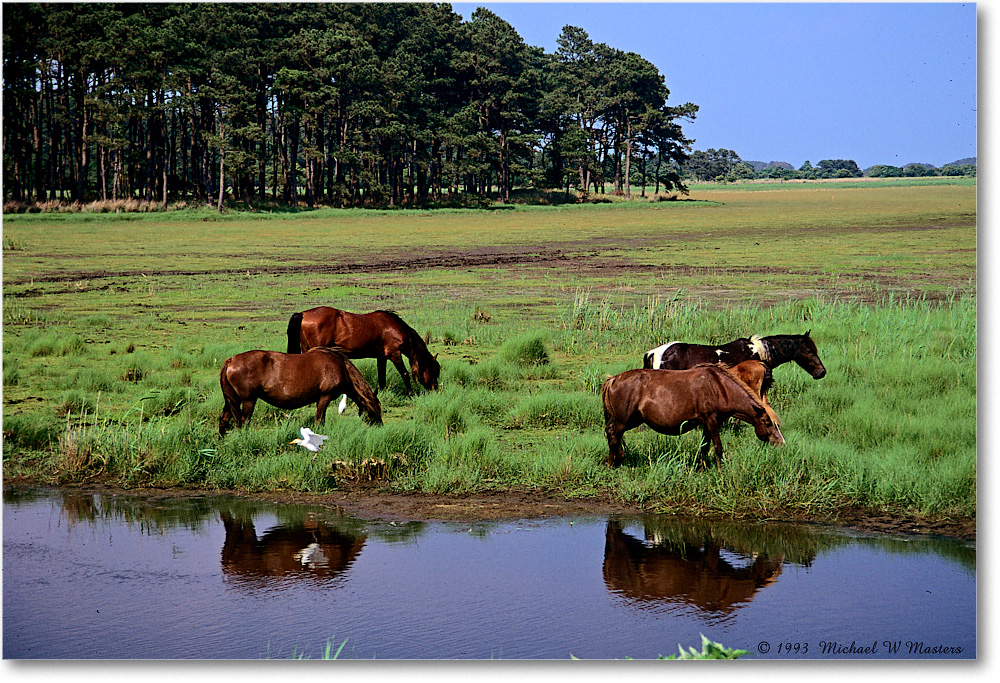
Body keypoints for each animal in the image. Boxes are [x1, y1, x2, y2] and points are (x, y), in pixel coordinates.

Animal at [219, 348, 382, 438]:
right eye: (377, 409)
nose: (380, 426)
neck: (340, 367)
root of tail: (230, 361)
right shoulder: (325, 397)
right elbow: (318, 420)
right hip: (248, 401)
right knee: (243, 422)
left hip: (232, 400)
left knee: (224, 419)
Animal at [292, 308, 444, 398]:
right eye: (435, 370)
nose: (435, 390)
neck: (394, 328)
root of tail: (304, 314)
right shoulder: (395, 354)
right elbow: (405, 373)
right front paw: (411, 394)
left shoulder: (382, 357)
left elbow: (382, 377)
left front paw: (381, 393)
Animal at [596, 366, 784, 468]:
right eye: (767, 422)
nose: (781, 443)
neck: (719, 387)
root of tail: (613, 379)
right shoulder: (712, 421)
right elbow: (718, 447)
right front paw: (720, 471)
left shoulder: (707, 424)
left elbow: (704, 448)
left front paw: (702, 468)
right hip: (623, 421)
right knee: (614, 437)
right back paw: (612, 463)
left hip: (631, 420)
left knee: (612, 436)